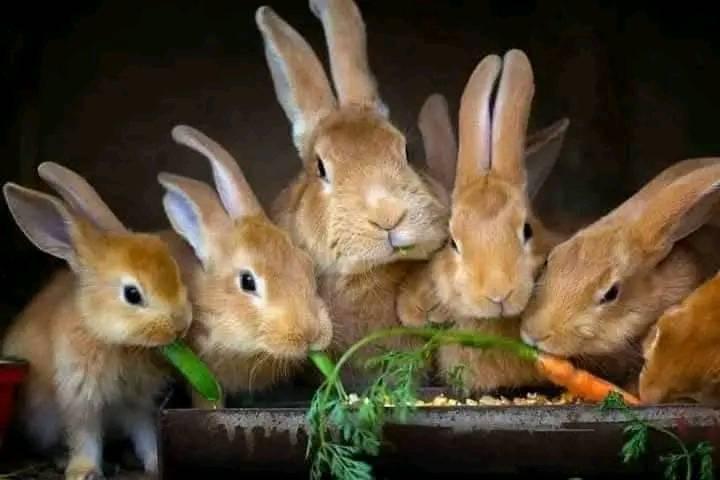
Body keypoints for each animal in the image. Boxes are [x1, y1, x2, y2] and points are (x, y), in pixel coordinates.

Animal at [2, 162, 191, 480]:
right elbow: (84, 437)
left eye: (176, 271)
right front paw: (83, 471)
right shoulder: (80, 400)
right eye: (132, 294)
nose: (181, 325)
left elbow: (145, 433)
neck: (112, 340)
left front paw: (155, 462)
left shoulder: (137, 403)